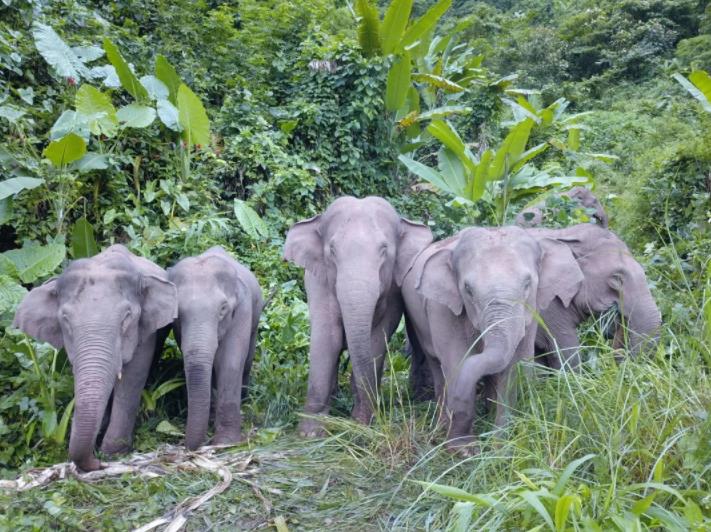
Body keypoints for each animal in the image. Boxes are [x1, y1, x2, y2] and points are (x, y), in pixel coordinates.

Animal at [12, 245, 177, 470]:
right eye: (65, 319)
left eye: (127, 318)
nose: (98, 463)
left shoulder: (146, 330)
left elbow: (133, 376)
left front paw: (113, 452)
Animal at [169, 247, 264, 450]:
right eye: (178, 313)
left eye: (223, 309)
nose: (185, 444)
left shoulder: (242, 309)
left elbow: (230, 363)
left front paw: (225, 442)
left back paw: (244, 399)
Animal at [286, 195, 434, 436]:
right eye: (332, 251)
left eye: (384, 249)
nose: (363, 421)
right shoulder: (318, 282)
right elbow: (328, 337)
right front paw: (310, 433)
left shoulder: (393, 289)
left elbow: (376, 339)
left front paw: (361, 424)